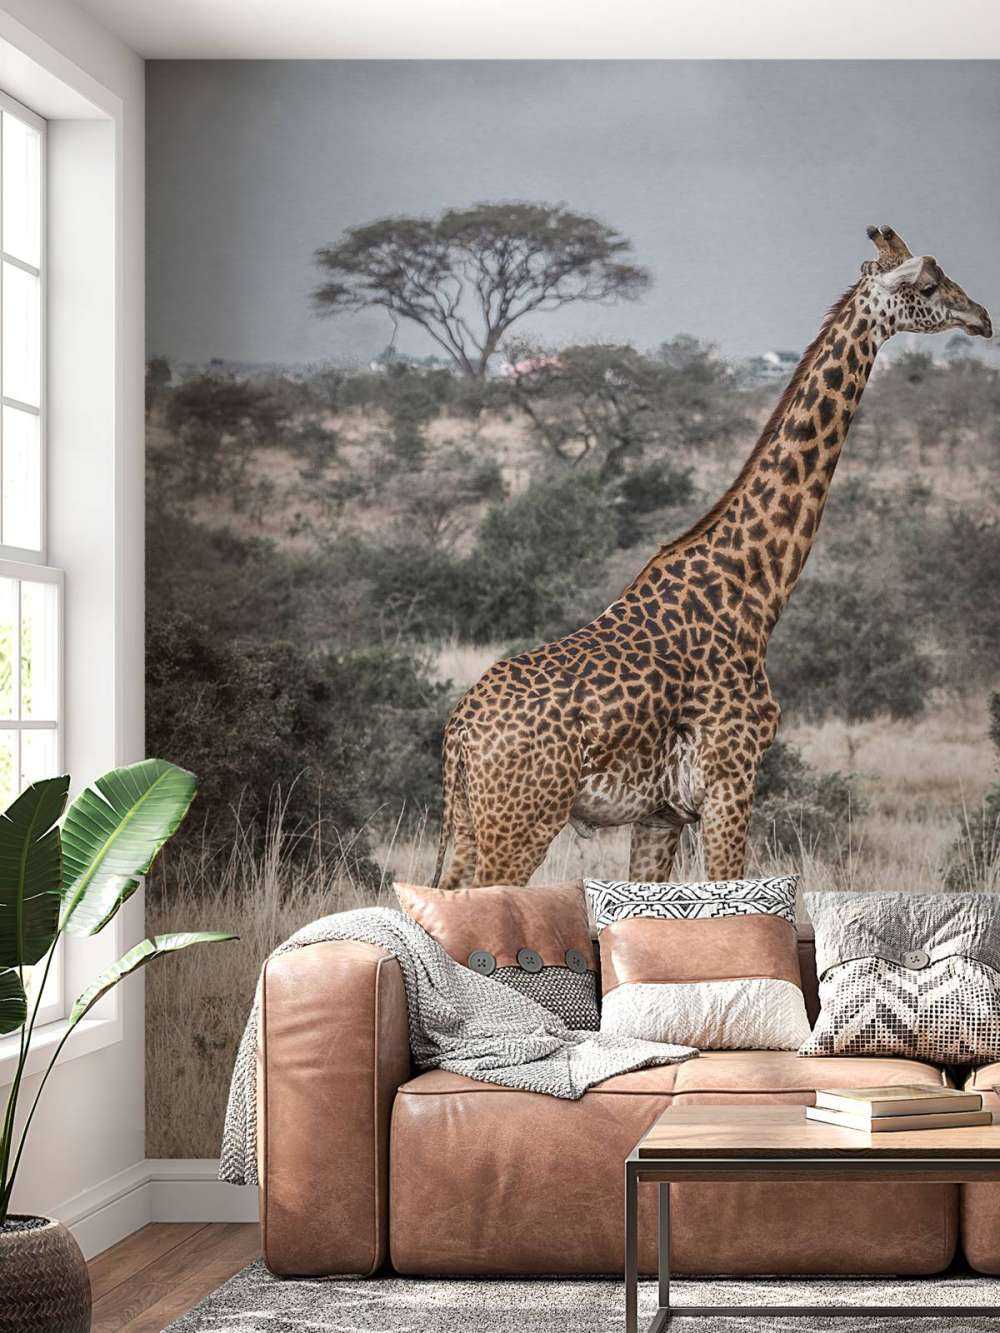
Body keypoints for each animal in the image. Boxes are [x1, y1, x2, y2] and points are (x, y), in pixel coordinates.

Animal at [433, 226, 992, 889]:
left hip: (469, 825)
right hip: (520, 822)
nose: (982, 317)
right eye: (928, 285)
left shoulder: (662, 813)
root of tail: (459, 734)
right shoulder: (731, 781)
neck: (753, 590)